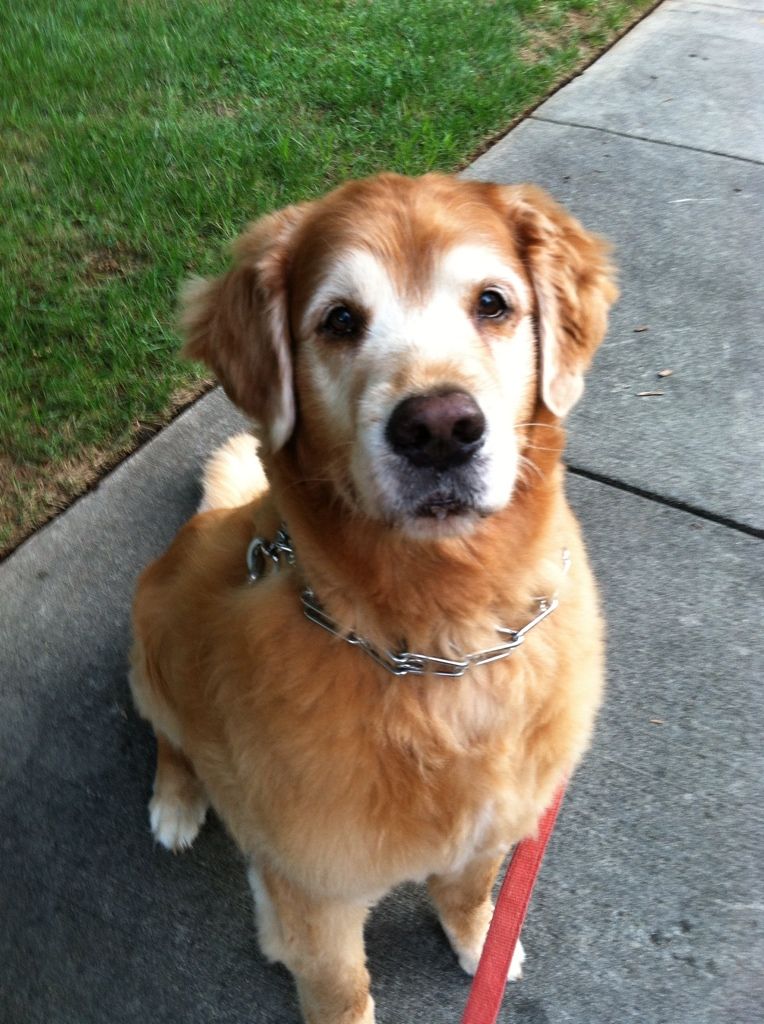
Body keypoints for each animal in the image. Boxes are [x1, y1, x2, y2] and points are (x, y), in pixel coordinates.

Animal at [129, 172, 614, 1019]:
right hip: (149, 639)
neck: (439, 644)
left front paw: (479, 942)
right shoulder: (318, 894)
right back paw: (178, 803)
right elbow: (339, 986)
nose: (440, 429)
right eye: (340, 320)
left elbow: (467, 890)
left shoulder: (494, 826)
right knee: (171, 736)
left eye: (493, 303)